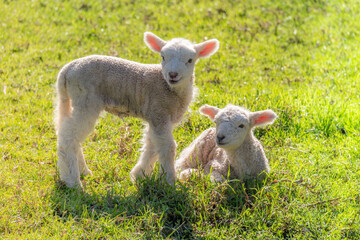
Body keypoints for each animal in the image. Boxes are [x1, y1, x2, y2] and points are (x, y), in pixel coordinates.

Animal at [54, 31, 219, 188]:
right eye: (163, 57)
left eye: (190, 60)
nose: (173, 74)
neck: (168, 87)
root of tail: (67, 69)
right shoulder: (159, 112)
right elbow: (168, 147)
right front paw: (170, 182)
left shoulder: (157, 117)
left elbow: (151, 145)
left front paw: (139, 175)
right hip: (86, 100)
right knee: (69, 138)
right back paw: (73, 182)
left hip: (75, 101)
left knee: (68, 135)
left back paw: (84, 172)